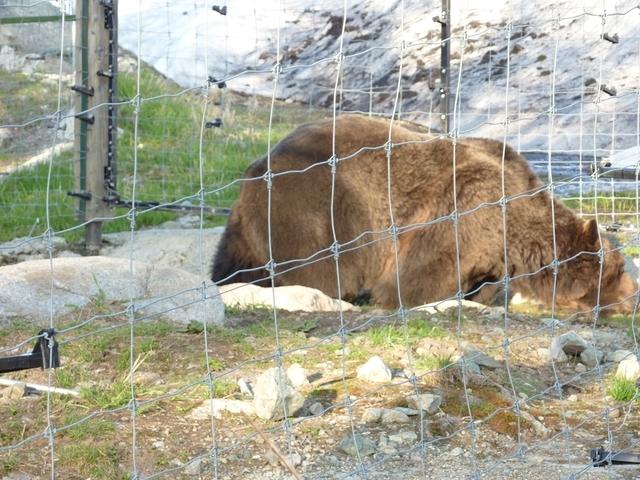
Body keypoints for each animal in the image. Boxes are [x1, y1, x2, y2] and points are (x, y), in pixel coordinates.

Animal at [212, 114, 636, 314]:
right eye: (617, 272)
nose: (634, 297)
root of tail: (255, 171)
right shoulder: (462, 211)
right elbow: (413, 282)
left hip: (251, 227)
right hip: (316, 207)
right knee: (320, 270)